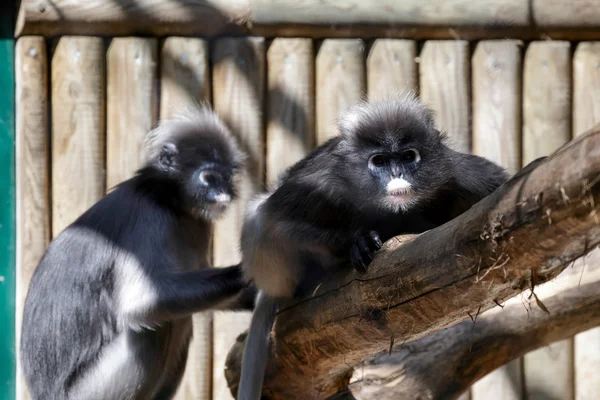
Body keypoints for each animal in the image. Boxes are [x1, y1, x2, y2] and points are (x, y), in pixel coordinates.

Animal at [20, 106, 255, 400]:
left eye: (227, 177)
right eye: (209, 177)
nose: (223, 195)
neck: (168, 200)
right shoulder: (147, 217)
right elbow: (138, 301)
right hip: (86, 391)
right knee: (157, 327)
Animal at [237, 94, 508, 400]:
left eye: (408, 157)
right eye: (379, 161)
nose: (397, 173)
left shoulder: (456, 172)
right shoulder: (320, 184)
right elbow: (271, 219)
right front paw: (359, 242)